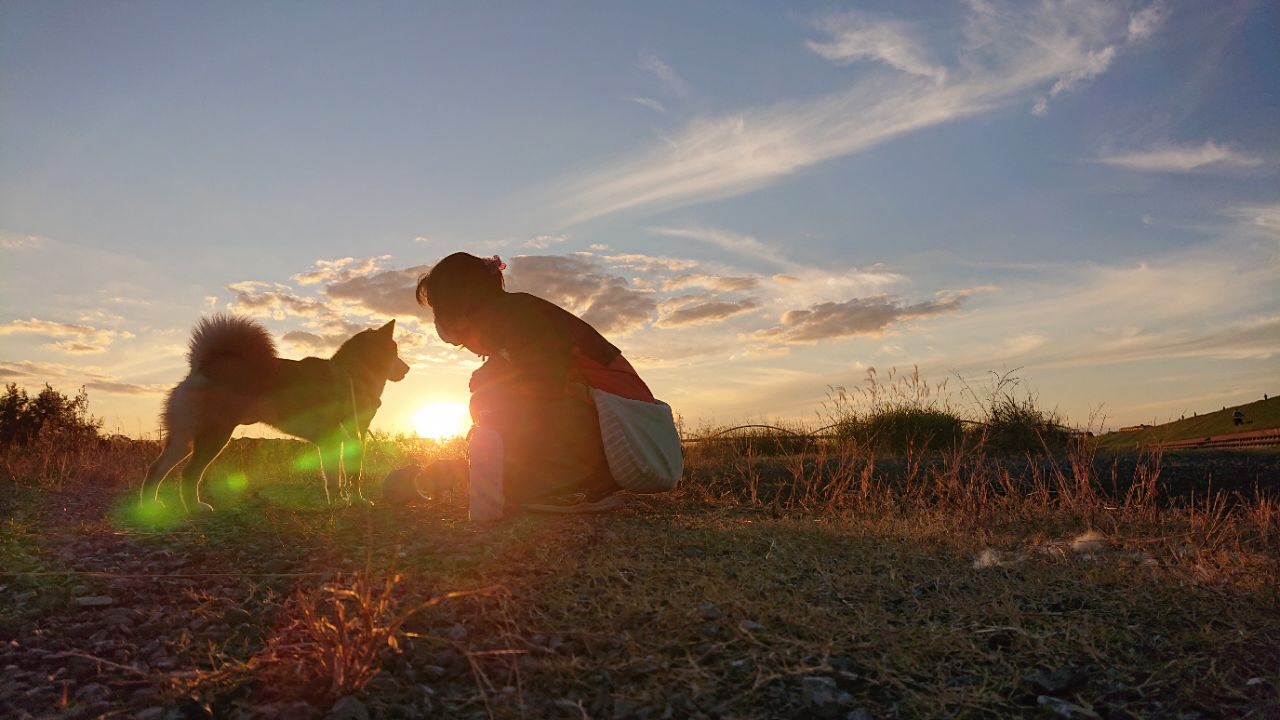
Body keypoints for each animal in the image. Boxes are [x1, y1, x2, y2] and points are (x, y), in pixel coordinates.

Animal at [136, 313, 404, 509]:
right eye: (396, 351)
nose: (407, 369)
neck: (352, 373)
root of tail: (203, 368)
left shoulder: (345, 438)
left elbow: (342, 475)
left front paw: (347, 500)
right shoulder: (342, 437)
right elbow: (346, 475)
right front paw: (347, 502)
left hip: (183, 439)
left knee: (156, 468)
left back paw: (150, 506)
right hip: (214, 437)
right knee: (189, 473)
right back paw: (195, 507)